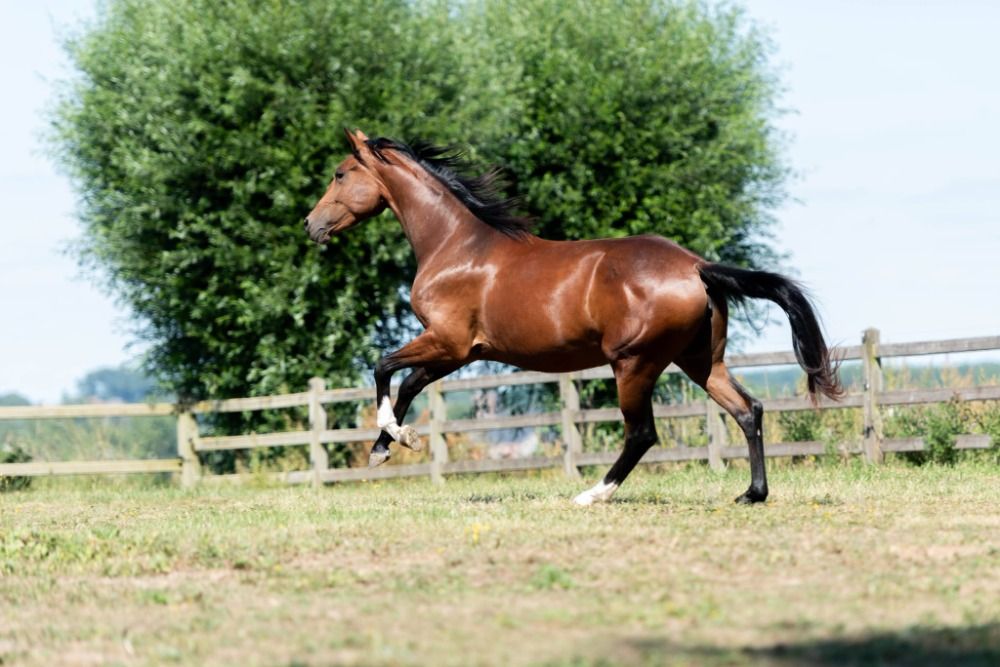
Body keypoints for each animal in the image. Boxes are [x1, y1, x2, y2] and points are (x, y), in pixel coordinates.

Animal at [305, 129, 842, 505]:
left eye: (339, 173)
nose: (310, 225)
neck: (456, 246)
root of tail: (696, 266)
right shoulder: (460, 353)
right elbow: (409, 384)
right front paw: (387, 446)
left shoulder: (447, 341)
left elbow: (383, 368)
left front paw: (393, 439)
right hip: (700, 361)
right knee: (748, 410)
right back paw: (752, 494)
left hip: (634, 363)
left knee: (643, 432)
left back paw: (592, 494)